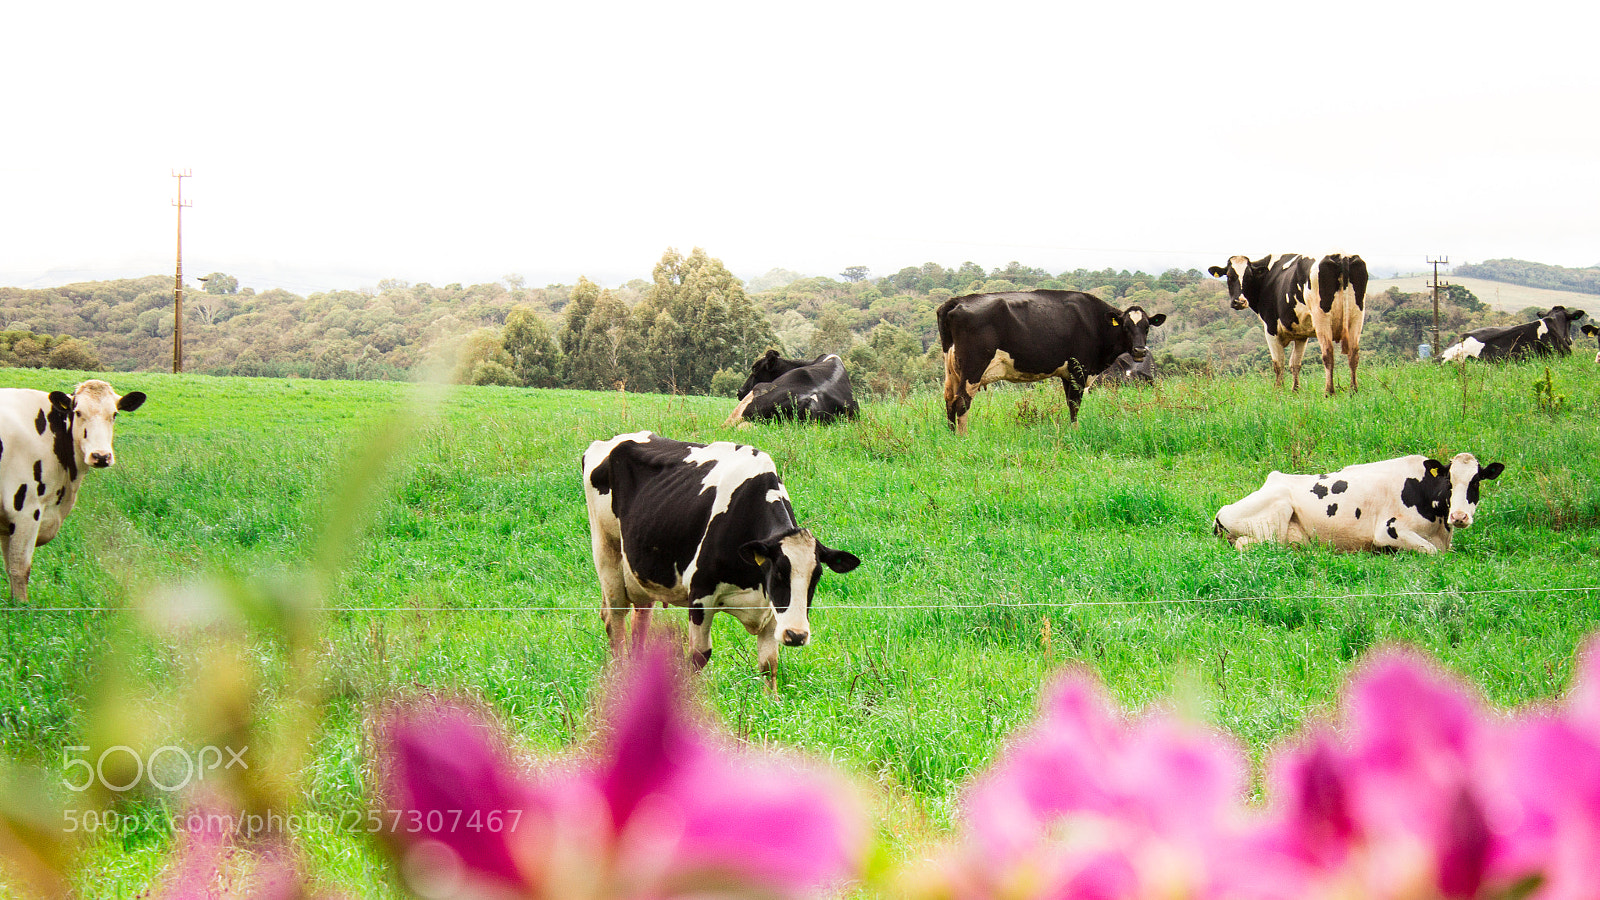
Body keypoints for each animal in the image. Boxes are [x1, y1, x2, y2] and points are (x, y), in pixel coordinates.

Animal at [0, 380, 146, 604]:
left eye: (114, 414)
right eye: (78, 412)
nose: (101, 456)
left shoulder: (6, 524)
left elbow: (9, 569)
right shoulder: (25, 509)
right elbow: (19, 570)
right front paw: (22, 608)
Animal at [581, 431, 860, 674]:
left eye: (817, 577)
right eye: (779, 573)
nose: (796, 635)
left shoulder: (770, 607)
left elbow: (769, 664)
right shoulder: (700, 595)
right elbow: (698, 656)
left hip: (641, 569)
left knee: (640, 617)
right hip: (607, 553)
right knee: (615, 620)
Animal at [936, 290, 1166, 434]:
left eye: (1147, 327)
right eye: (1125, 326)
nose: (1139, 350)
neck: (1095, 322)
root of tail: (957, 300)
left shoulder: (1067, 372)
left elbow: (1070, 403)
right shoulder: (1079, 369)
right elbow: (1075, 404)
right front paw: (1075, 432)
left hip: (952, 370)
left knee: (949, 399)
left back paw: (951, 435)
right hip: (973, 367)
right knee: (962, 401)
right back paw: (963, 437)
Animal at [1207, 253, 1368, 394]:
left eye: (1249, 276)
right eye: (1229, 276)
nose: (1239, 302)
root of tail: (1341, 256)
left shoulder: (1271, 329)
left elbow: (1278, 363)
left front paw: (1278, 391)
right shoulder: (1301, 335)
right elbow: (1295, 363)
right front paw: (1295, 390)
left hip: (1321, 317)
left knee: (1327, 353)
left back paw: (1329, 392)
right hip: (1357, 316)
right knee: (1353, 353)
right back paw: (1354, 390)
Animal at [1213, 452, 1504, 554]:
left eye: (1476, 482)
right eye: (1449, 482)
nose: (1459, 517)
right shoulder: (1388, 530)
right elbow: (1431, 551)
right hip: (1278, 512)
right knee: (1246, 544)